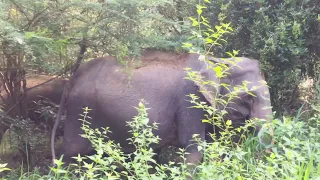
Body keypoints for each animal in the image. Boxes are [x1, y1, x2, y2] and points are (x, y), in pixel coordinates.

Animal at [51, 48, 272, 166]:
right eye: (249, 98)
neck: (218, 60)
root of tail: (74, 76)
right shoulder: (189, 100)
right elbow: (194, 150)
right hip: (80, 110)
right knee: (71, 152)